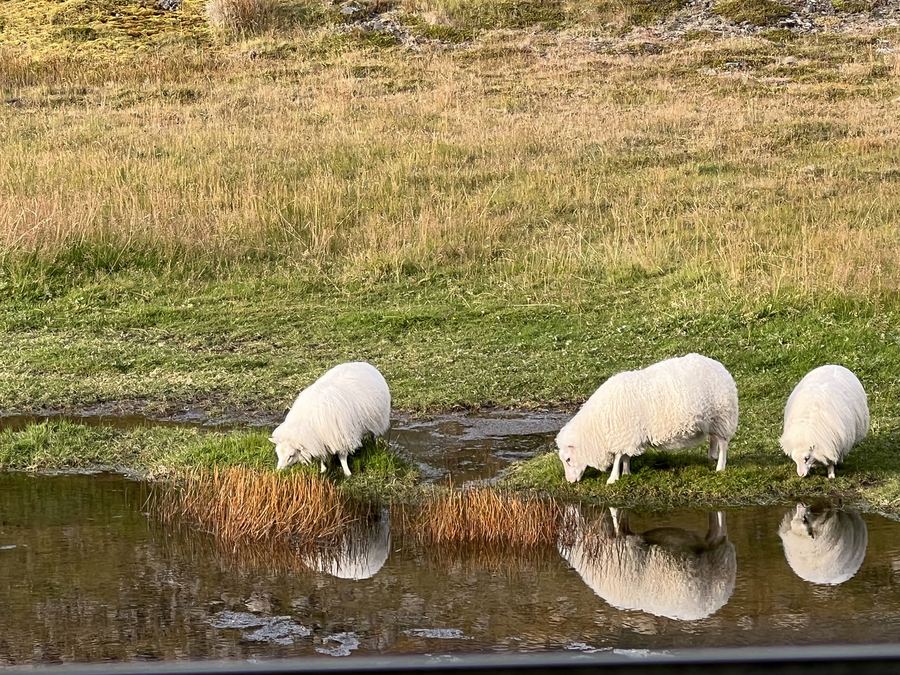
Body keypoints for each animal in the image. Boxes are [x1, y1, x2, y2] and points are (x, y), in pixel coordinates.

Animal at [556, 353, 739, 484]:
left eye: (568, 459)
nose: (570, 482)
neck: (597, 426)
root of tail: (721, 367)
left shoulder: (622, 434)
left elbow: (618, 456)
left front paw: (613, 478)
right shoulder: (628, 435)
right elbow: (625, 455)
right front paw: (627, 472)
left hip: (722, 417)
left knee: (723, 444)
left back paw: (720, 467)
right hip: (712, 421)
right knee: (714, 439)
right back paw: (711, 457)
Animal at [558, 508, 736, 621]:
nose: (569, 509)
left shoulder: (627, 543)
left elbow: (618, 522)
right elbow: (622, 520)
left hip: (718, 554)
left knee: (720, 530)